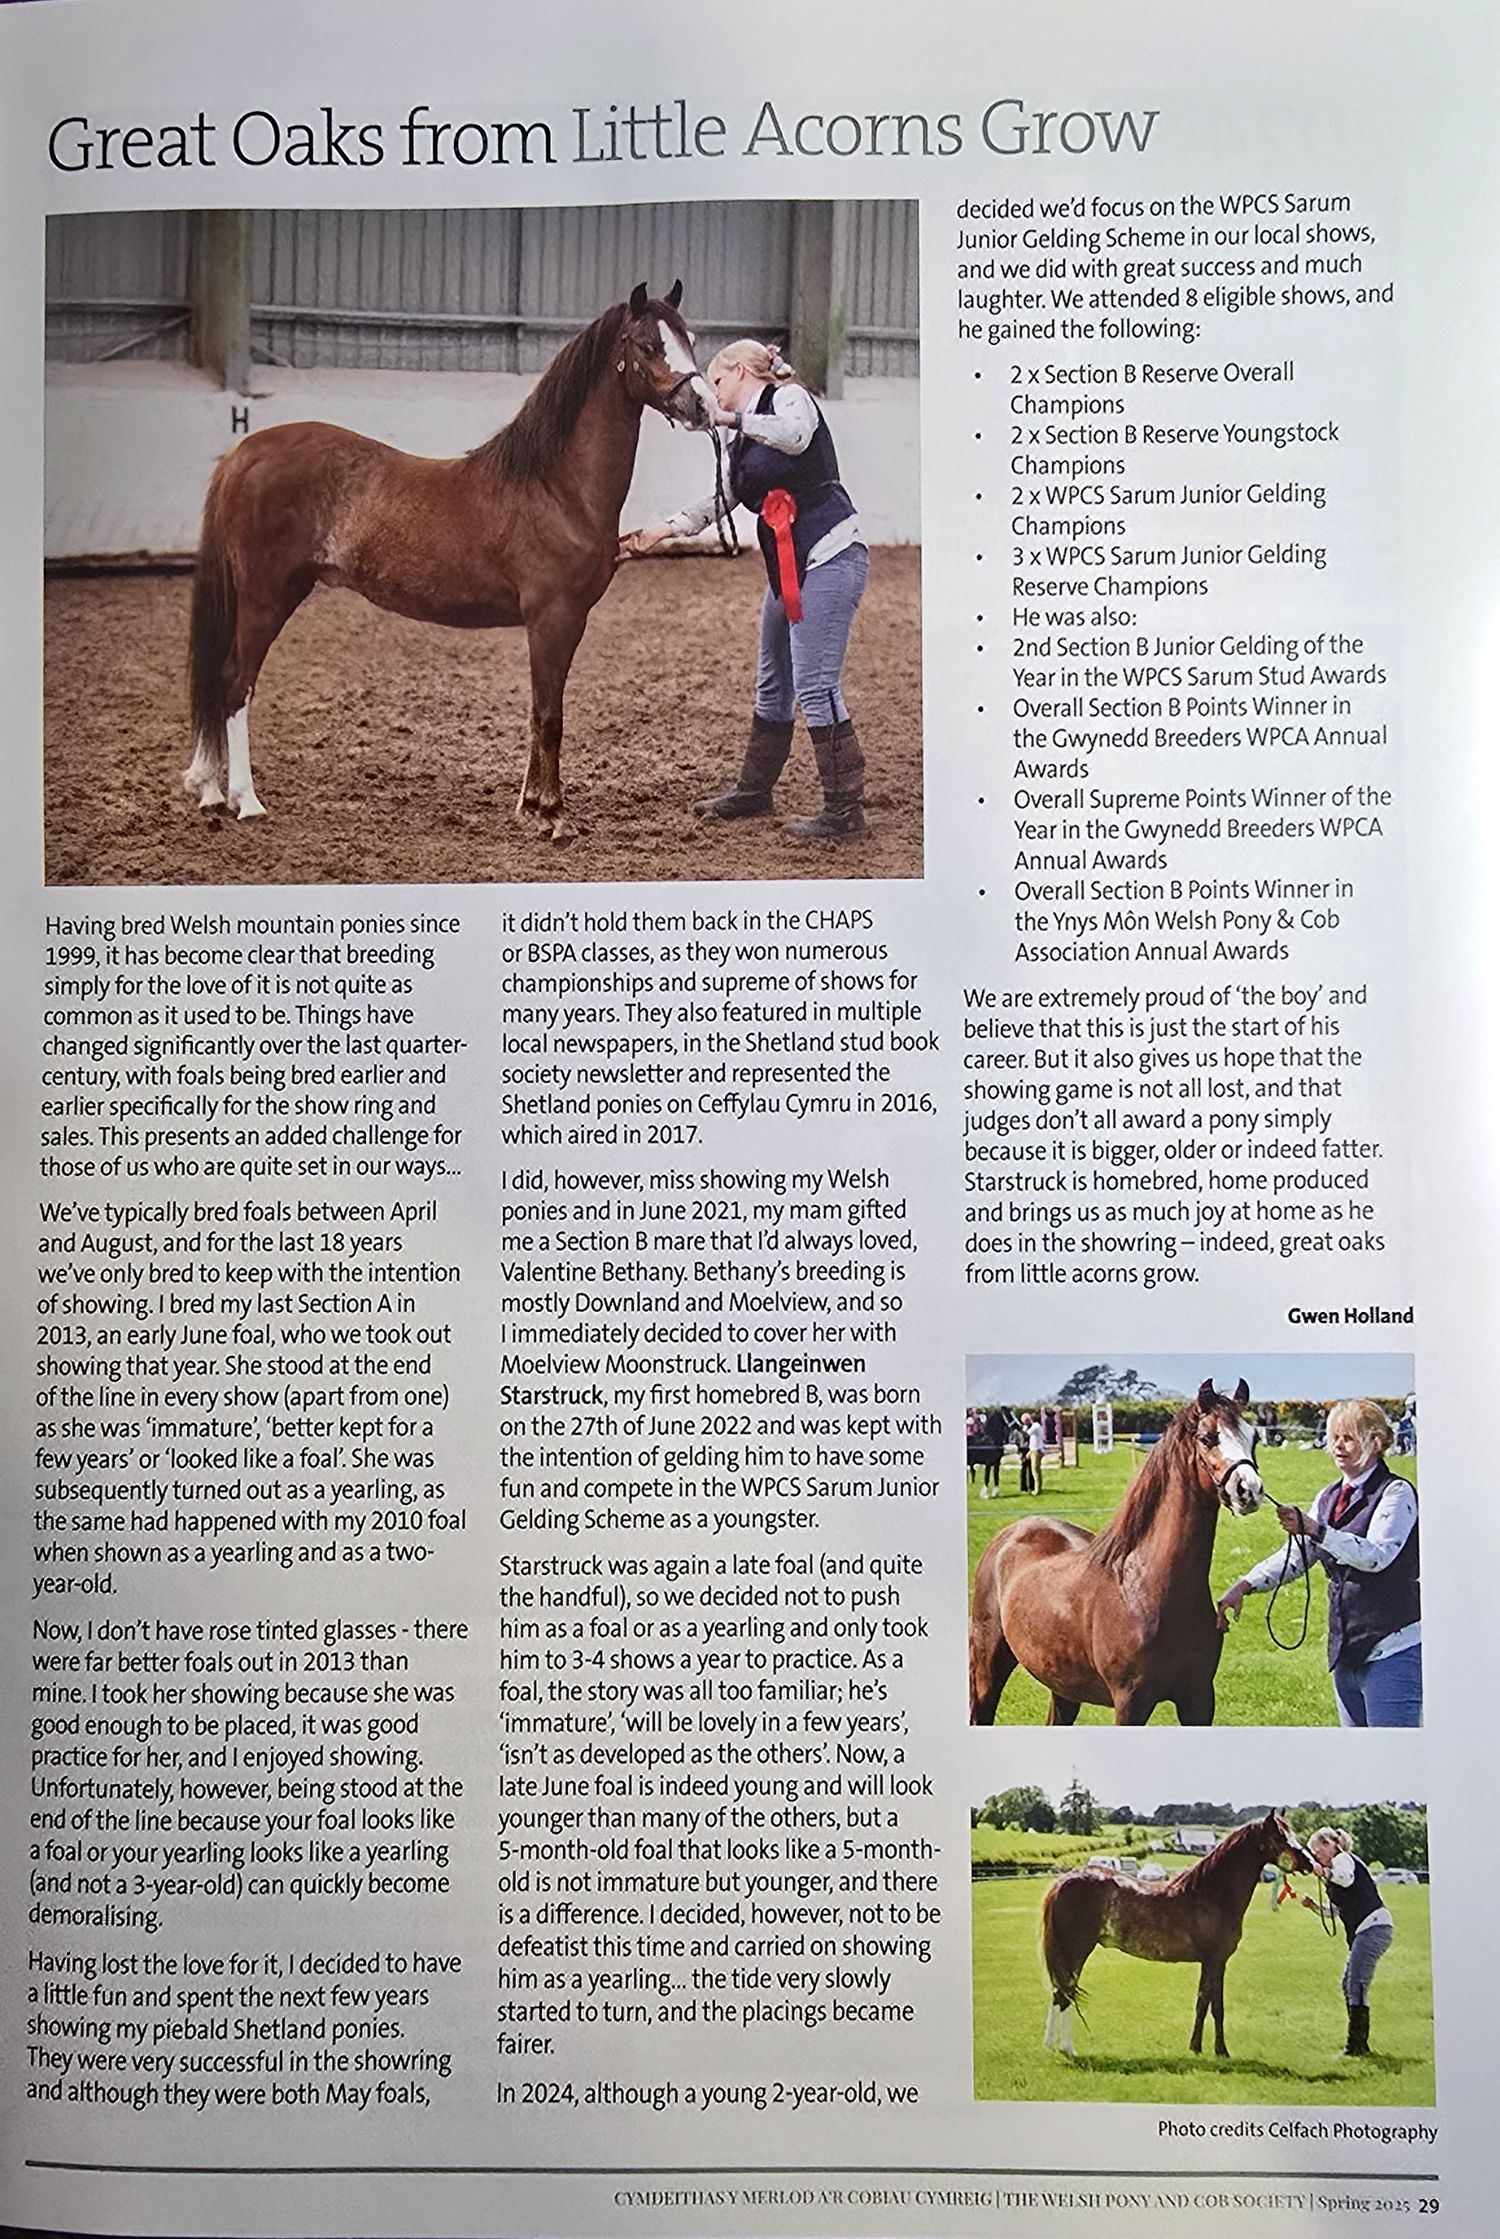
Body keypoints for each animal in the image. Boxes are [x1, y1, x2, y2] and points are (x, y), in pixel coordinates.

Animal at [184, 282, 714, 840]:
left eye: (690, 339)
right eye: (649, 346)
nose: (702, 406)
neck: (556, 489)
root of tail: (243, 454)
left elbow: (536, 711)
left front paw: (530, 804)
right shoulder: (556, 618)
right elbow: (550, 715)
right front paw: (554, 814)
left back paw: (211, 791)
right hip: (266, 597)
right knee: (235, 683)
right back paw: (245, 800)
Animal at [968, 1378, 1263, 1727]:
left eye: (1253, 1437)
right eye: (1207, 1438)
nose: (1249, 1490)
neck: (1145, 1590)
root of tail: (1009, 1535)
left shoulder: (1199, 1700)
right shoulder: (1130, 1704)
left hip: (1063, 1686)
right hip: (987, 1669)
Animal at [1040, 1811, 1317, 2057]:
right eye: (1279, 1836)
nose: (1309, 1863)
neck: (1212, 1894)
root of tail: (1063, 1881)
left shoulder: (1213, 1962)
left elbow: (1206, 2004)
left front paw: (1198, 2047)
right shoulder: (1215, 1960)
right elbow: (1213, 2006)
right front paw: (1219, 2051)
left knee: (1059, 1993)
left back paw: (1052, 2046)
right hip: (1075, 1951)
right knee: (1064, 1994)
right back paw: (1067, 2048)